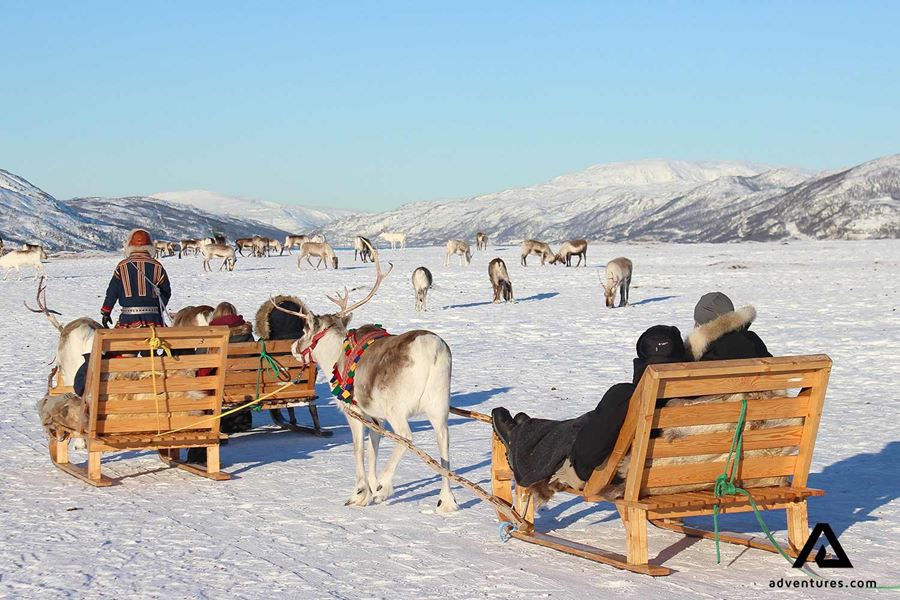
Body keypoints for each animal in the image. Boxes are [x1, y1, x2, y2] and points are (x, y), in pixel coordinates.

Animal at [272, 251, 459, 513]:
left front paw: (361, 492)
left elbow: (358, 448)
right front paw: (369, 490)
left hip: (397, 409)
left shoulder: (355, 411)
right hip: (439, 406)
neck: (334, 355)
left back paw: (384, 485)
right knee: (444, 444)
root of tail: (433, 351)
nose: (292, 348)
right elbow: (373, 447)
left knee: (406, 437)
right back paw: (447, 500)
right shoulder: (375, 417)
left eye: (305, 329)